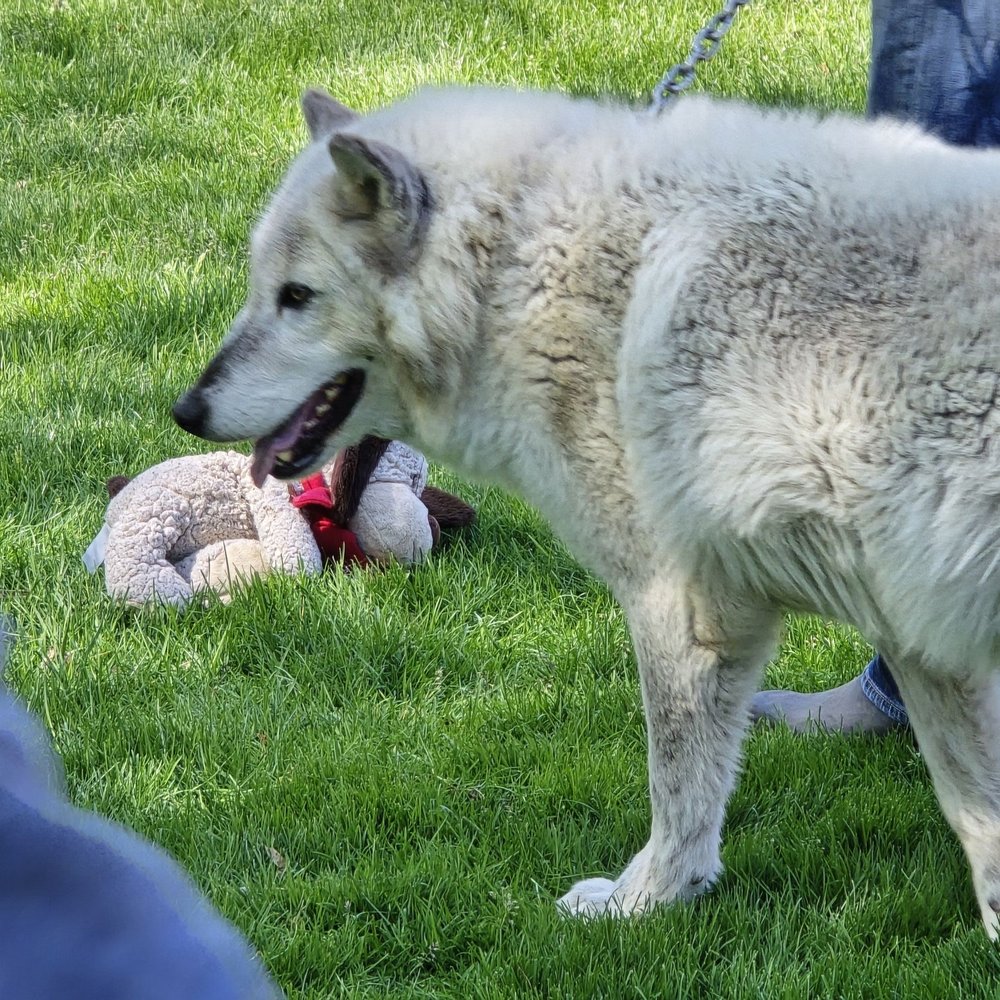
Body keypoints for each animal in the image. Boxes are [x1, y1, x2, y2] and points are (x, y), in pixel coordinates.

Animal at [174, 85, 1000, 935]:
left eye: (297, 297)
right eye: (260, 290)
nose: (186, 410)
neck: (518, 272)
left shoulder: (676, 611)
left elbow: (677, 785)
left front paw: (644, 902)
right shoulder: (919, 636)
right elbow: (977, 814)